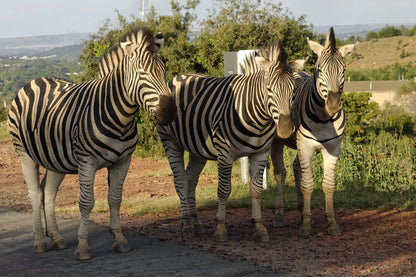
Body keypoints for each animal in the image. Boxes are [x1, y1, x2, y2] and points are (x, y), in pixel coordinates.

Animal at [7, 26, 176, 258]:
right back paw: (40, 242)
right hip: (24, 154)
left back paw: (57, 238)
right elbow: (86, 203)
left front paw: (120, 240)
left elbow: (115, 199)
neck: (120, 117)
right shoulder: (86, 161)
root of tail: (36, 80)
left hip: (55, 159)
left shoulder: (123, 161)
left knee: (48, 193)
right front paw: (83, 247)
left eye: (164, 70)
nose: (169, 112)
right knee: (34, 194)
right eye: (142, 72)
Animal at [157, 40, 296, 240]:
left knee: (191, 179)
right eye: (269, 89)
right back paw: (187, 226)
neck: (257, 119)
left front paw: (259, 227)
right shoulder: (225, 154)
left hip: (197, 148)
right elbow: (223, 190)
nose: (285, 129)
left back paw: (195, 223)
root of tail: (178, 77)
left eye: (294, 91)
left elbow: (256, 191)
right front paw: (221, 228)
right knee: (180, 180)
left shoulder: (261, 153)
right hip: (169, 141)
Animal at [272, 27, 356, 235]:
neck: (324, 118)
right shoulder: (306, 147)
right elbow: (308, 185)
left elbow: (328, 185)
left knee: (296, 168)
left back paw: (303, 210)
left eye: (343, 70)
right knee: (280, 174)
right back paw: (279, 216)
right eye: (319, 70)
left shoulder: (333, 149)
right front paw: (306, 226)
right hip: (277, 142)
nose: (333, 104)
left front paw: (331, 223)